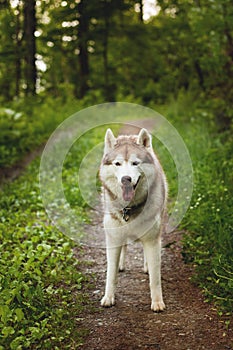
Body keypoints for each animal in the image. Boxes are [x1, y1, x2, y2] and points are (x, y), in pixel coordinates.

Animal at [99, 126, 167, 312]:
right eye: (117, 164)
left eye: (135, 163)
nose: (126, 179)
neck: (128, 209)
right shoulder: (113, 237)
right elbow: (111, 274)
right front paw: (109, 297)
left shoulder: (152, 239)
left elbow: (155, 279)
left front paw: (157, 302)